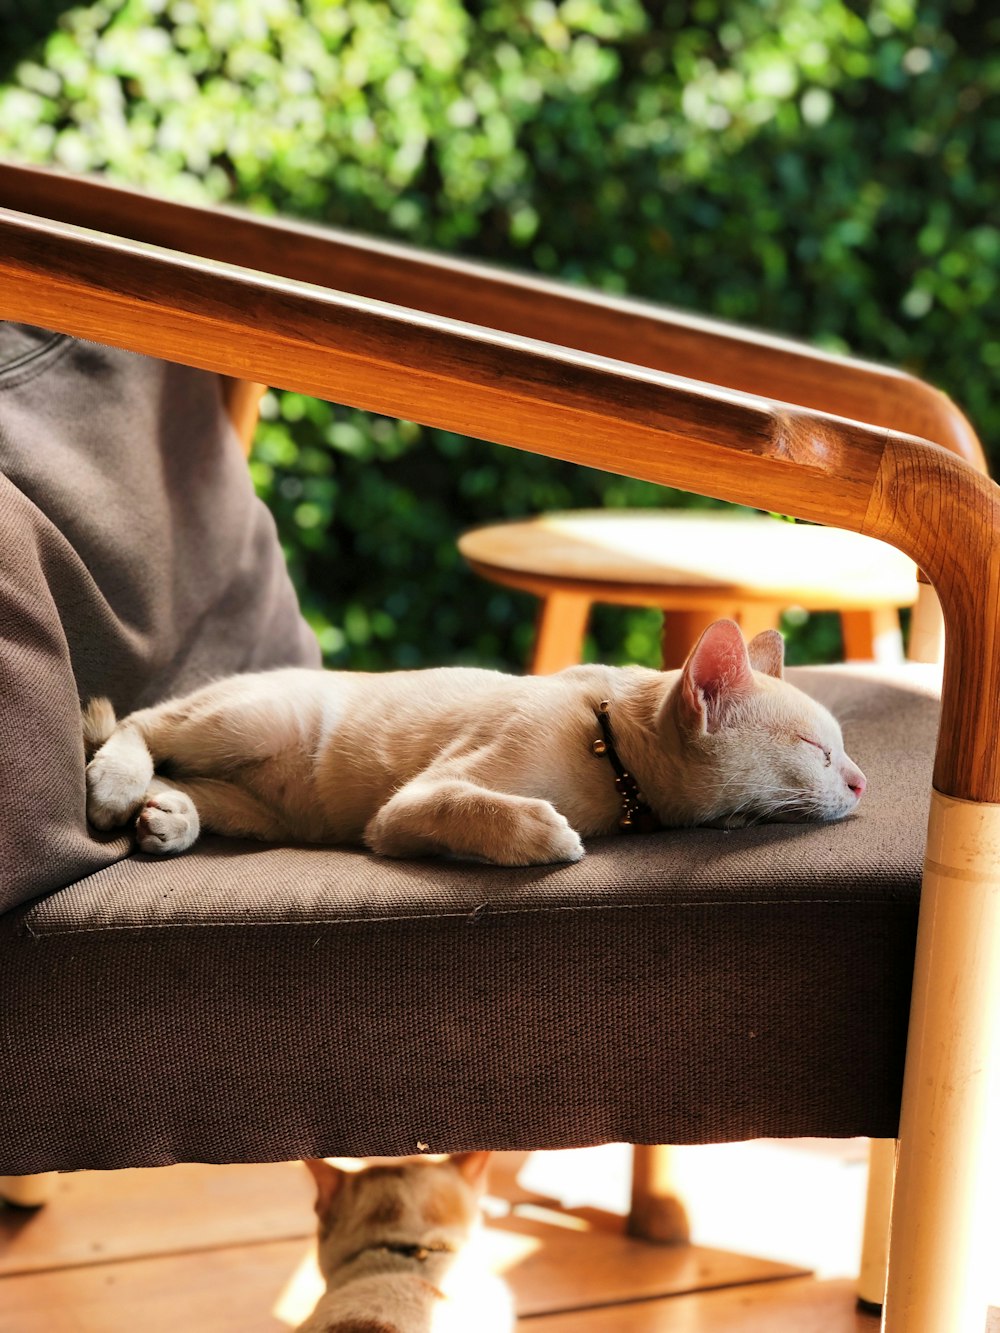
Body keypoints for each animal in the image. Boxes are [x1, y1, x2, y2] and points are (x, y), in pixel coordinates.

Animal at [84, 618, 869, 869]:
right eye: (817, 748)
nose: (862, 782)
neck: (606, 750)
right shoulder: (405, 809)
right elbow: (471, 807)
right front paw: (546, 835)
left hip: (270, 813)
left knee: (187, 781)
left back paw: (168, 817)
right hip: (250, 719)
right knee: (141, 721)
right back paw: (116, 784)